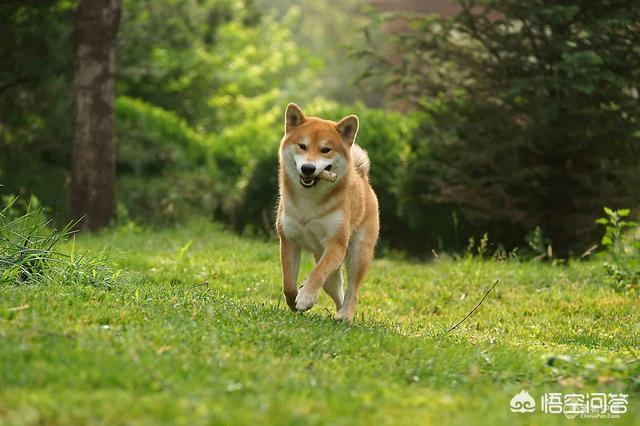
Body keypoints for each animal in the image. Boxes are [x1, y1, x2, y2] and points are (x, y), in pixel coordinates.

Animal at [276, 105, 380, 322]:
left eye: (326, 150)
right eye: (302, 146)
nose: (308, 168)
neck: (308, 204)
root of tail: (363, 178)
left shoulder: (336, 245)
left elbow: (317, 274)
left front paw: (306, 297)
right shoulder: (289, 241)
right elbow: (288, 282)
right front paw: (294, 300)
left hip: (357, 253)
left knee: (352, 292)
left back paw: (345, 315)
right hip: (329, 268)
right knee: (337, 291)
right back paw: (340, 312)